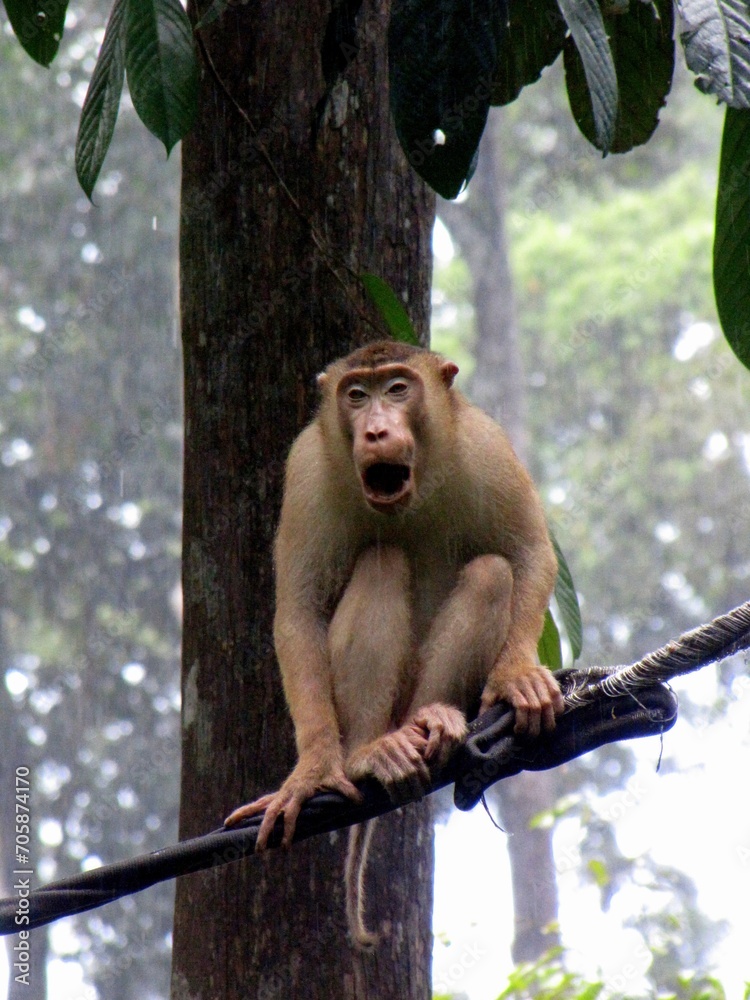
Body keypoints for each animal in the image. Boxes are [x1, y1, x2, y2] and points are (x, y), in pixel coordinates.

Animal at [226, 342, 568, 944]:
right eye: (357, 395)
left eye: (398, 389)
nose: (376, 430)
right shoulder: (307, 470)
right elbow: (299, 611)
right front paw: (313, 768)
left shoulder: (486, 445)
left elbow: (528, 552)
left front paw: (516, 676)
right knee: (383, 561)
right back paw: (369, 753)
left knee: (491, 573)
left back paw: (431, 721)